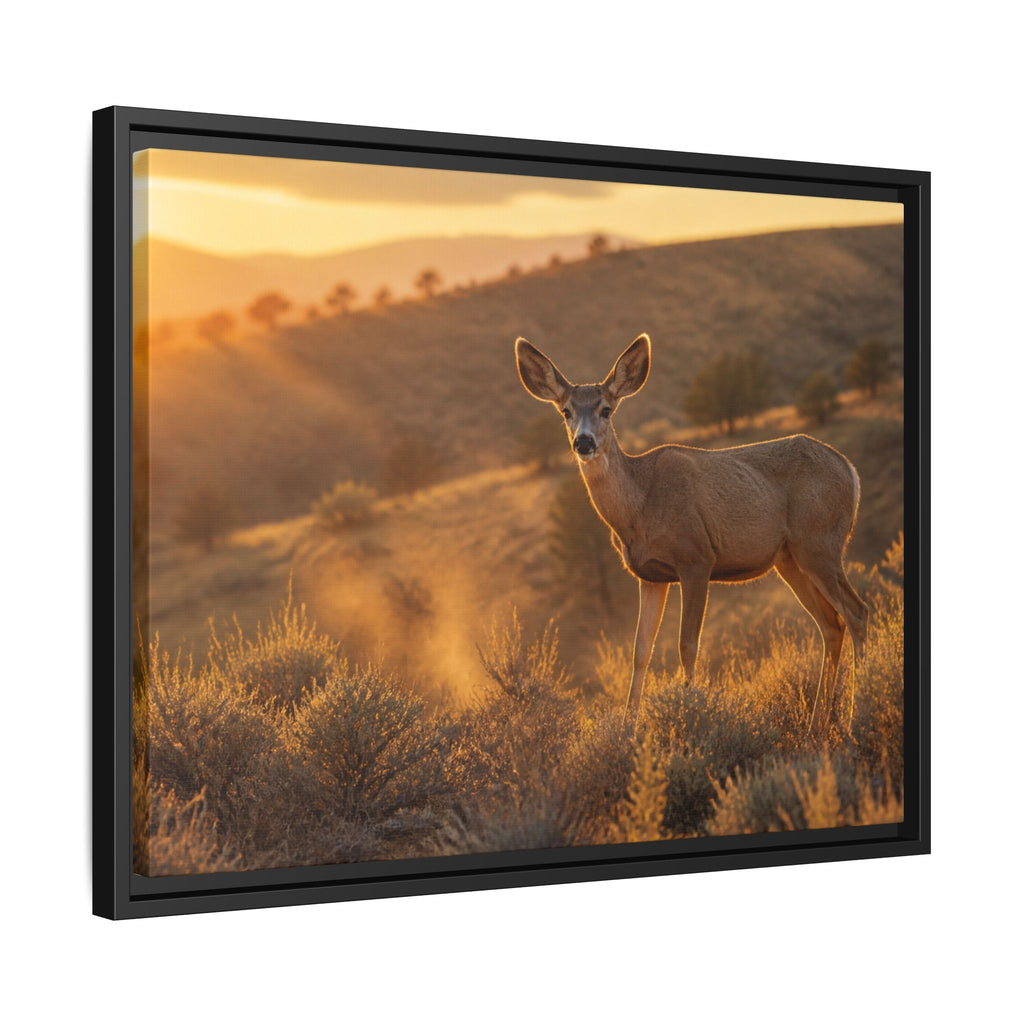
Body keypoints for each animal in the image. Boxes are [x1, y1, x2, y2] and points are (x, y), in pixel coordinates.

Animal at [515, 332, 868, 735]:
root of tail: (850, 471)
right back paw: (816, 726)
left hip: (820, 543)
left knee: (857, 613)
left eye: (606, 409)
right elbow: (640, 650)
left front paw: (688, 717)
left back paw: (856, 718)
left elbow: (687, 645)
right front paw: (629, 729)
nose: (584, 442)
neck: (640, 507)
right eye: (566, 411)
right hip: (790, 559)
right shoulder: (650, 576)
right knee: (831, 625)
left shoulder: (697, 557)